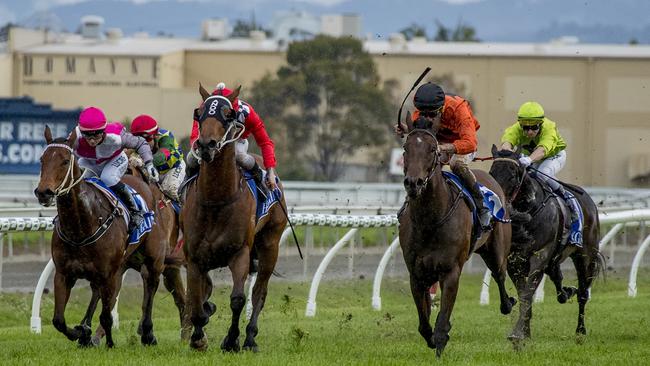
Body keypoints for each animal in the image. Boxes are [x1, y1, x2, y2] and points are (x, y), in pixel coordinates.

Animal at [33, 127, 185, 348]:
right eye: (42, 159)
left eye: (65, 161)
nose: (43, 192)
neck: (81, 226)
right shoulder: (64, 273)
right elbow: (58, 320)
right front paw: (81, 333)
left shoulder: (108, 273)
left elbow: (106, 315)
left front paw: (108, 343)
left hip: (154, 259)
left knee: (151, 286)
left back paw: (148, 332)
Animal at [180, 83, 286, 352]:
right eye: (199, 113)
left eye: (228, 114)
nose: (206, 145)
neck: (216, 200)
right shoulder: (194, 256)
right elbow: (196, 298)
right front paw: (198, 336)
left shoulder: (240, 253)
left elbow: (238, 299)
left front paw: (231, 340)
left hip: (270, 244)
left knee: (259, 292)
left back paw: (249, 337)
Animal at [398, 113, 512, 356]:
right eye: (405, 147)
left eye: (433, 149)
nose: (413, 183)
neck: (429, 220)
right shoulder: (417, 274)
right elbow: (424, 323)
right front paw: (431, 337)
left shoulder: (451, 271)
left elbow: (441, 322)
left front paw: (440, 341)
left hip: (496, 251)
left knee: (499, 274)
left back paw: (508, 304)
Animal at [492, 145, 604, 344]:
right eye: (491, 172)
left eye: (512, 175)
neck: (528, 213)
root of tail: (590, 202)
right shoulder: (515, 260)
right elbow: (523, 295)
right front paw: (525, 332)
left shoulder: (540, 255)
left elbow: (528, 293)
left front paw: (517, 333)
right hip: (557, 257)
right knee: (557, 276)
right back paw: (566, 292)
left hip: (586, 256)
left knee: (583, 293)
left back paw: (580, 331)